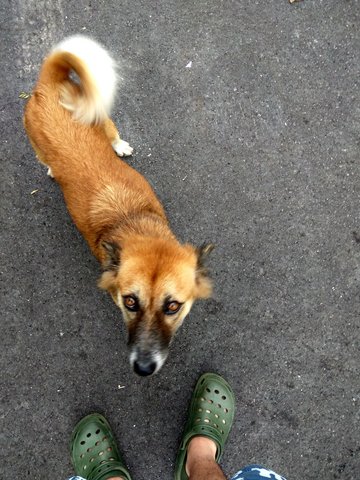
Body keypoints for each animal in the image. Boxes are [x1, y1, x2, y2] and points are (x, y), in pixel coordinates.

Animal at [24, 36, 214, 376]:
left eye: (173, 306)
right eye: (130, 302)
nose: (143, 368)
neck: (132, 221)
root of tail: (47, 87)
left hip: (98, 113)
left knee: (111, 133)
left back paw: (119, 146)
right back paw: (52, 169)